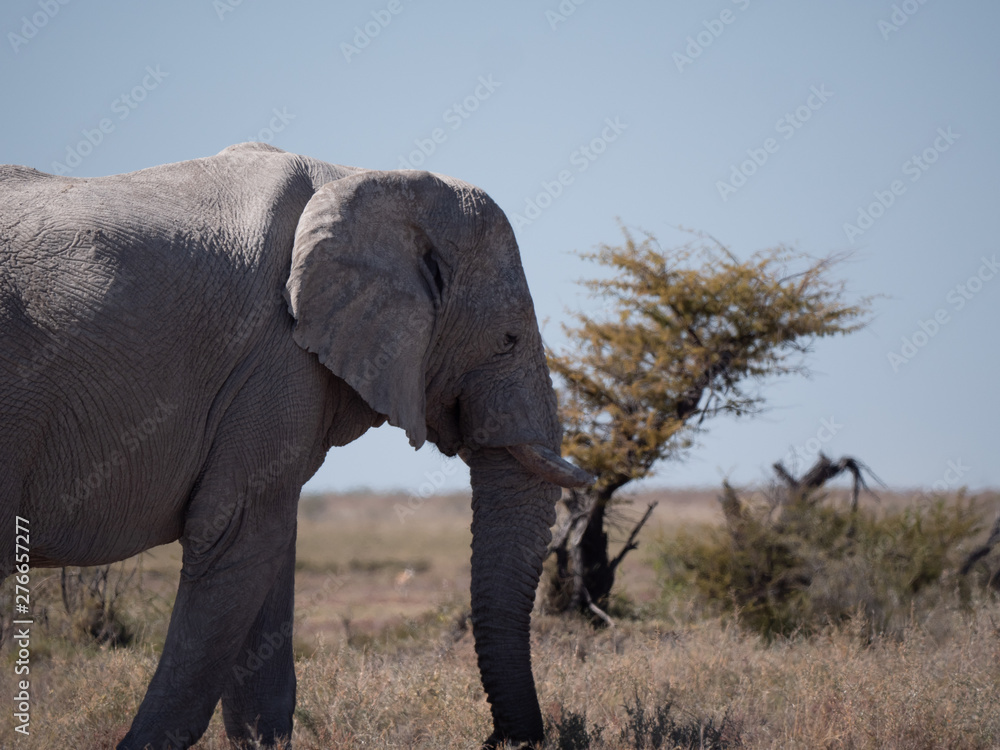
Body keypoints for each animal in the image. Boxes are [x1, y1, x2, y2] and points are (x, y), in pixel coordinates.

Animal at [0, 142, 591, 749]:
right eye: (508, 340)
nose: (503, 740)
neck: (363, 177)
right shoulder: (274, 361)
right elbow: (236, 534)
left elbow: (266, 552)